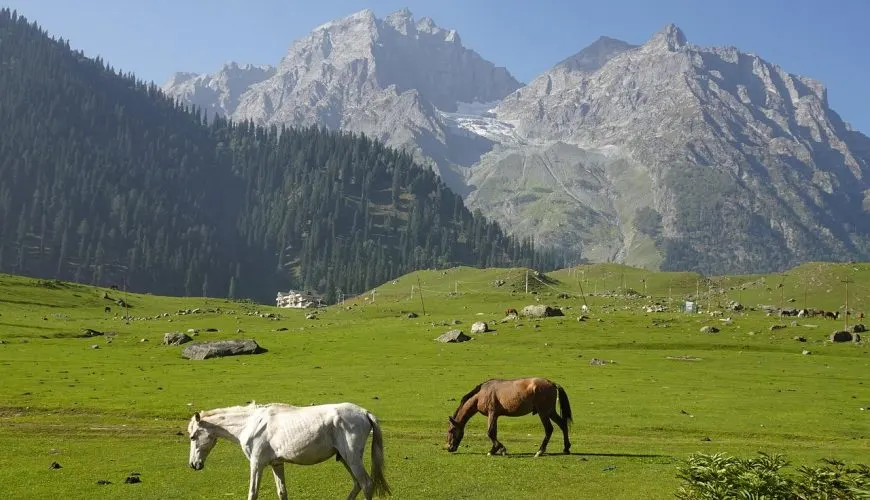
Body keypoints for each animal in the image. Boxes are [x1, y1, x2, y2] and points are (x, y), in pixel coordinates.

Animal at [187, 402, 390, 500]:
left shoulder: (256, 464)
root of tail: (364, 412)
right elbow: (282, 492)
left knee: (366, 484)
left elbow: (253, 493)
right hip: (346, 459)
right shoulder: (276, 464)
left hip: (352, 458)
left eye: (193, 437)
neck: (250, 423)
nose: (193, 465)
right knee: (358, 484)